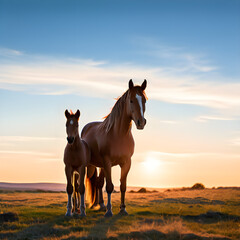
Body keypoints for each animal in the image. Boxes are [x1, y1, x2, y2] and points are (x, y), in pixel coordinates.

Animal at [81, 79, 147, 217]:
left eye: (144, 100)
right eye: (131, 100)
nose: (141, 122)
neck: (118, 135)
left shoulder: (126, 163)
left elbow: (123, 186)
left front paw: (123, 209)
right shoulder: (107, 162)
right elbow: (110, 187)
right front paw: (109, 211)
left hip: (101, 166)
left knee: (98, 183)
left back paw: (100, 205)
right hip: (91, 165)